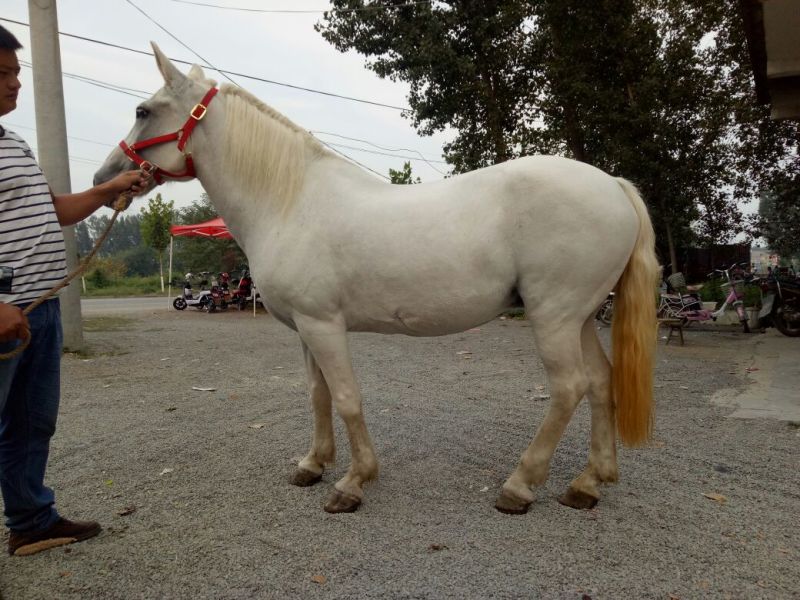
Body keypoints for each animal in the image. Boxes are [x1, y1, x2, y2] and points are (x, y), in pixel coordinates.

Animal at [94, 44, 660, 515]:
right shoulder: (306, 328)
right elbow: (318, 395)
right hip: (577, 317)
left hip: (554, 317)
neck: (290, 200)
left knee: (569, 388)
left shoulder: (324, 325)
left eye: (144, 111)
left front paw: (352, 482)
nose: (106, 178)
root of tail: (613, 184)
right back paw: (589, 483)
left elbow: (347, 397)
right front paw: (313, 465)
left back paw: (519, 487)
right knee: (601, 383)